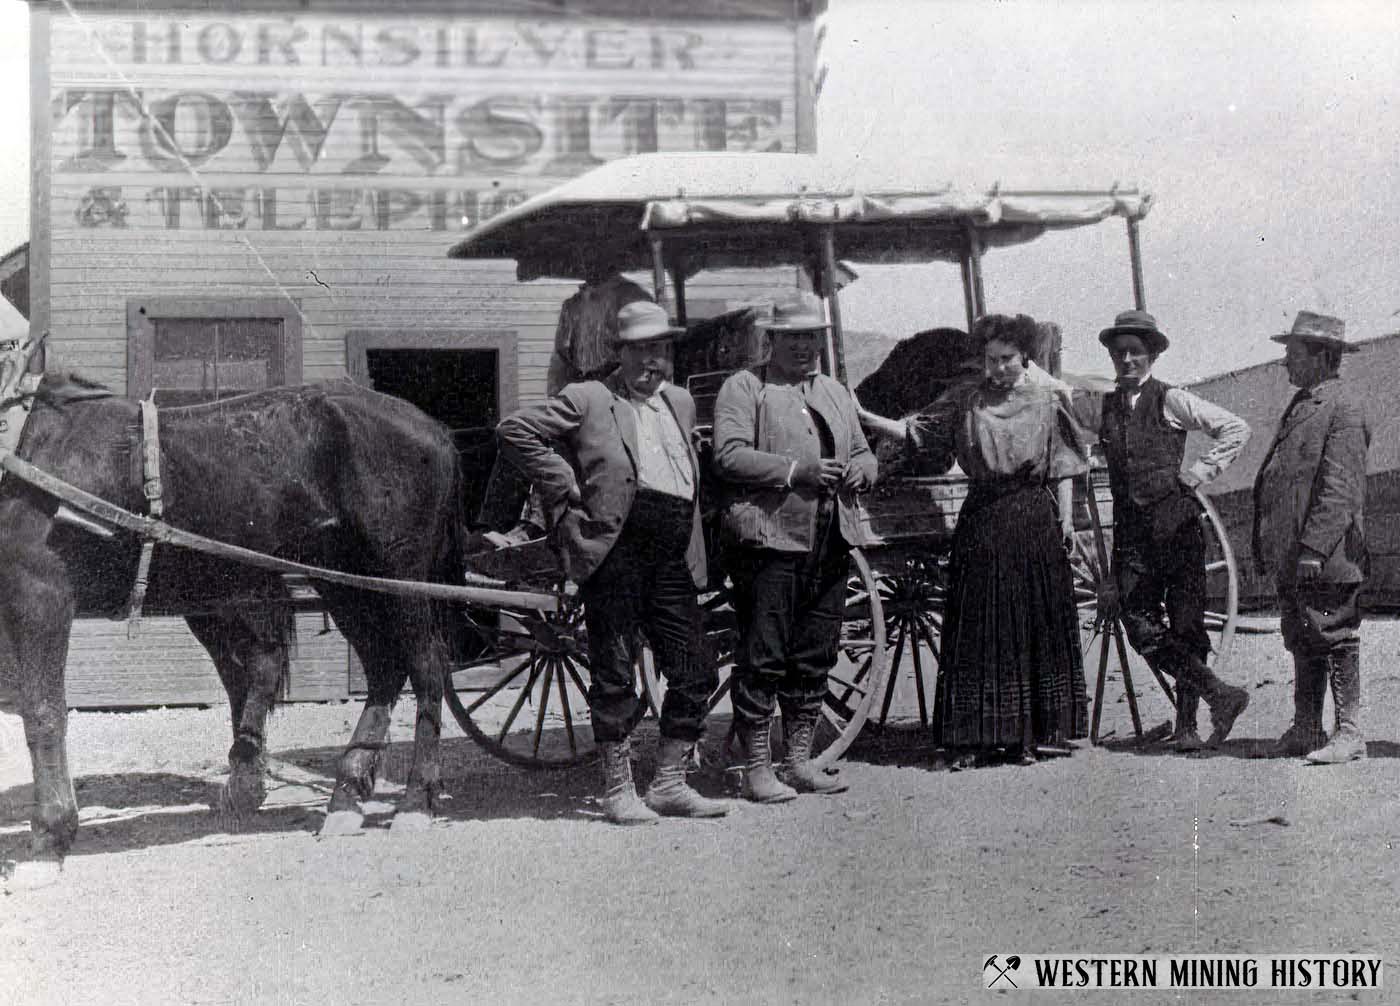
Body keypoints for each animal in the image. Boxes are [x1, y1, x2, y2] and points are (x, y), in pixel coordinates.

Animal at [0, 369, 470, 884]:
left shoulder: (39, 597)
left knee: (426, 667)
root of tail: (434, 429)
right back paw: (345, 798)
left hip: (399, 577)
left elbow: (43, 713)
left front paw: (49, 838)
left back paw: (415, 801)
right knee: (384, 668)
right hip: (343, 580)